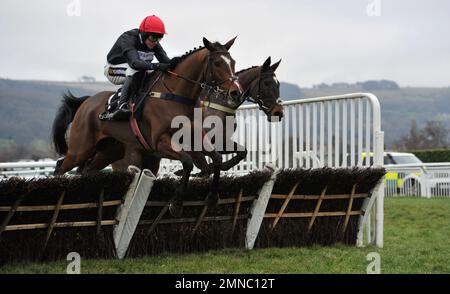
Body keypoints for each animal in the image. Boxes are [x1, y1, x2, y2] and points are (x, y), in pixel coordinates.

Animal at [51, 37, 243, 216]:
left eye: (233, 62)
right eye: (217, 63)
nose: (236, 92)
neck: (176, 95)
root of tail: (86, 102)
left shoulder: (195, 138)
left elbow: (217, 158)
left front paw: (212, 197)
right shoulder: (160, 142)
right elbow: (188, 162)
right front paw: (177, 204)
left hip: (110, 151)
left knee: (86, 170)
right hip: (81, 149)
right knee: (61, 166)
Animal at [110, 56, 284, 176]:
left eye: (278, 84)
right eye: (267, 83)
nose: (278, 112)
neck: (218, 105)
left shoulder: (219, 140)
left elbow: (241, 152)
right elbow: (202, 161)